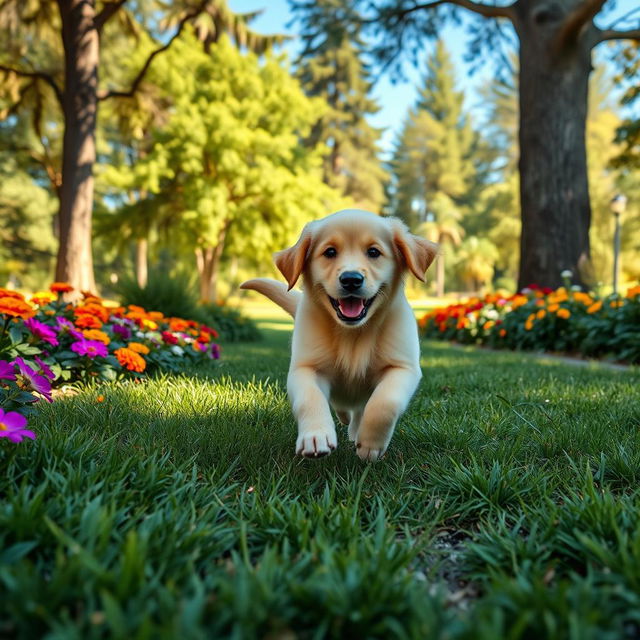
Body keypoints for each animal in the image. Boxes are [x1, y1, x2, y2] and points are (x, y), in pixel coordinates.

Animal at [242, 209, 438, 460]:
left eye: (373, 252)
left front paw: (371, 444)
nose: (351, 279)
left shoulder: (403, 367)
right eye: (330, 252)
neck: (352, 334)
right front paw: (315, 437)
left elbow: (385, 402)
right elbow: (309, 398)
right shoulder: (305, 368)